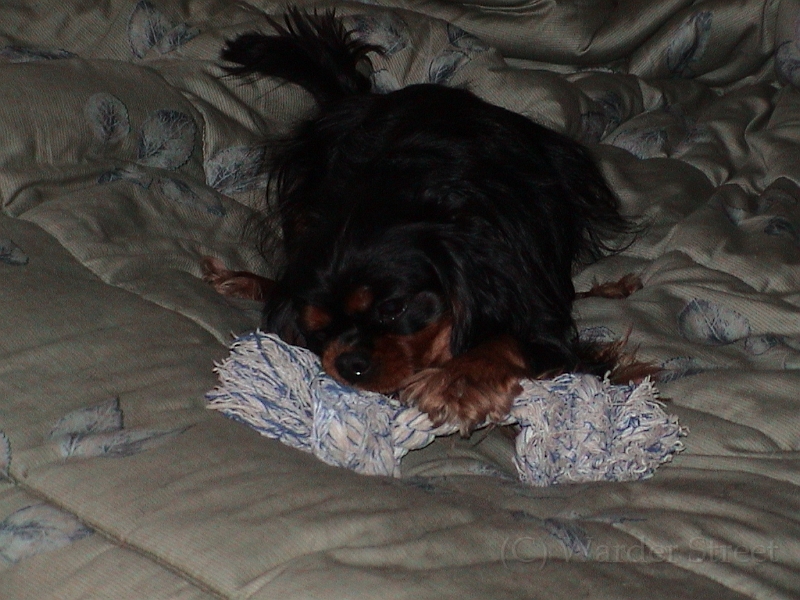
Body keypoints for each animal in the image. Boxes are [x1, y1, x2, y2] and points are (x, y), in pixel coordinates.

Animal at [212, 9, 643, 434]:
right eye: (318, 328)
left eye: (393, 309)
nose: (349, 363)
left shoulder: (538, 310)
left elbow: (510, 337)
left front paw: (457, 382)